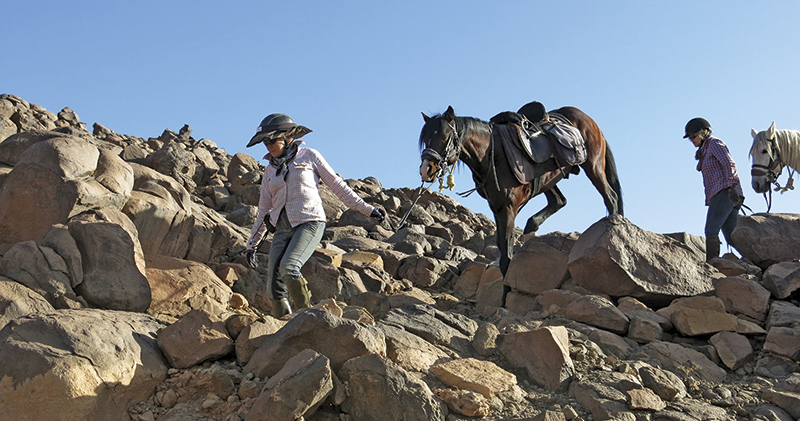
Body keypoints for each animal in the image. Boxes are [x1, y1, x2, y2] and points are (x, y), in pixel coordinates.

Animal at [418, 105, 623, 300]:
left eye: (445, 136)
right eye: (425, 139)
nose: (426, 169)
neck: (491, 154)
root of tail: (586, 118)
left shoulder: (508, 209)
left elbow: (506, 257)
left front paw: (505, 296)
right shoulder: (497, 207)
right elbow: (503, 248)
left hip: (593, 166)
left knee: (610, 197)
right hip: (550, 179)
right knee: (559, 201)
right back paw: (531, 227)